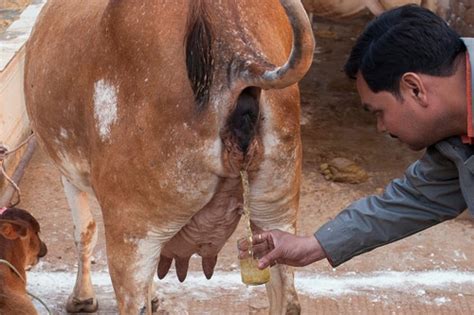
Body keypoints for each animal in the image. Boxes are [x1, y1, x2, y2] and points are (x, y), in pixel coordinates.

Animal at [25, 1, 314, 314]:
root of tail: (236, 50)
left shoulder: (69, 172)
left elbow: (84, 232)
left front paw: (82, 298)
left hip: (133, 233)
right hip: (276, 213)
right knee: (287, 297)